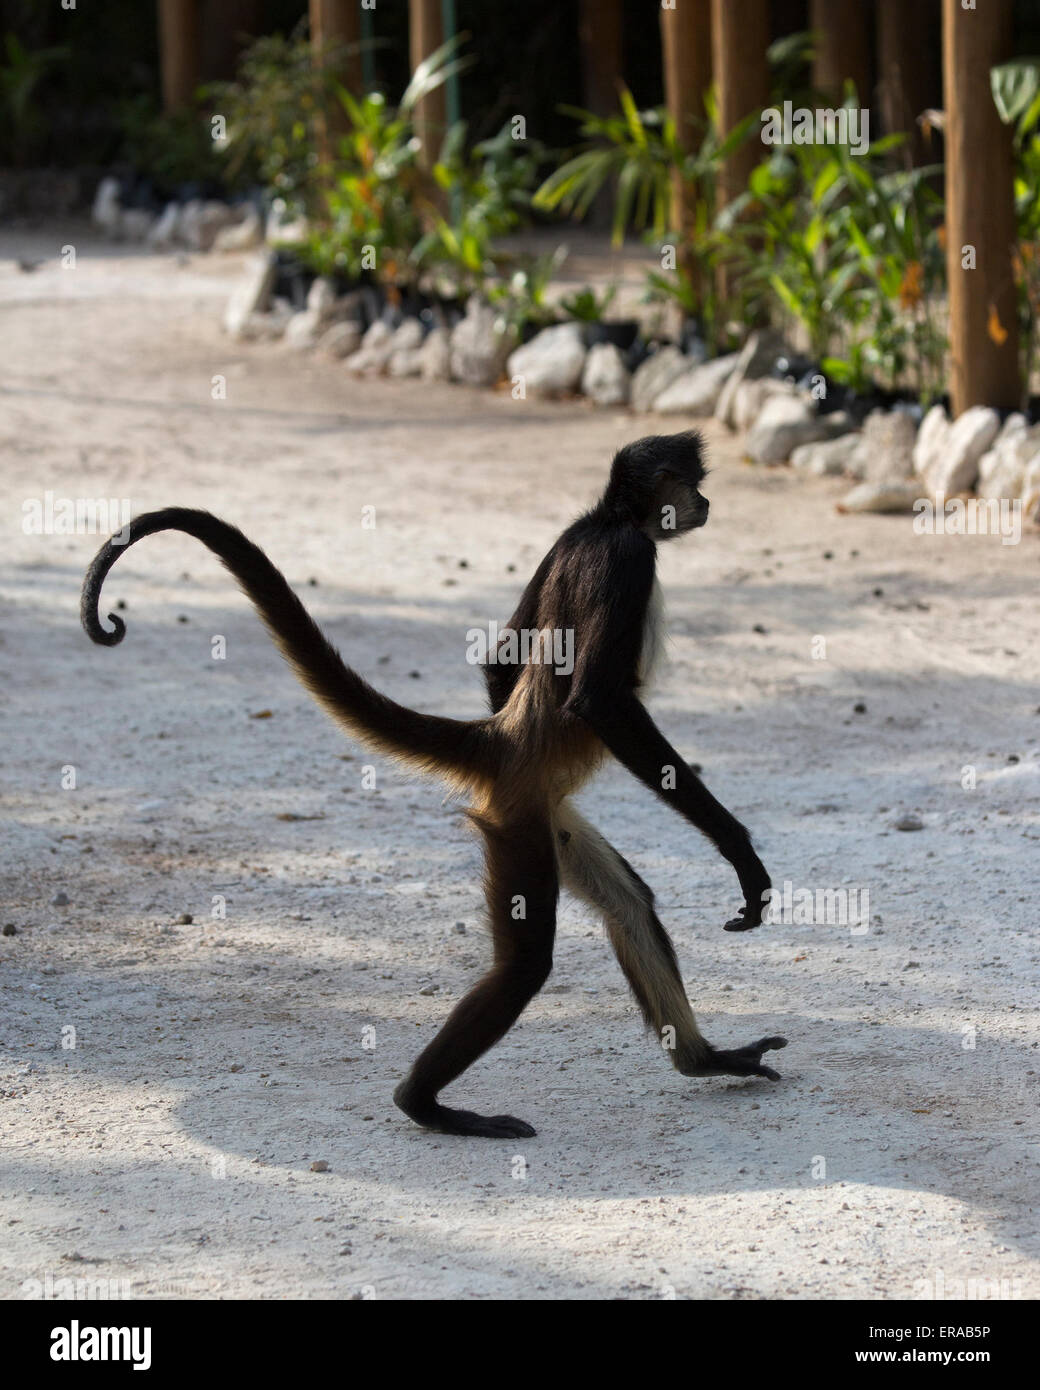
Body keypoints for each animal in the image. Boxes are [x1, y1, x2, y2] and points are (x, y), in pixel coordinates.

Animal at [83, 428, 789, 1134]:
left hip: (542, 818)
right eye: (693, 483)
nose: (706, 502)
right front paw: (740, 853)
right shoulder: (629, 555)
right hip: (521, 822)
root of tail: (501, 738)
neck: (605, 520)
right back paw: (422, 1103)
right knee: (525, 966)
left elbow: (502, 656)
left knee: (629, 903)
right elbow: (598, 701)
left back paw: (702, 1061)